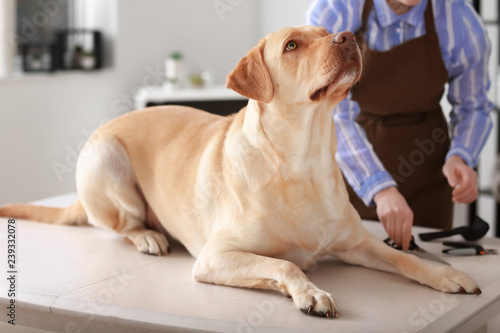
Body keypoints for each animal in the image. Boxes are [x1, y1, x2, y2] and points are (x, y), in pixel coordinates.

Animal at [0, 26, 480, 316]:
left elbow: (404, 256)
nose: (348, 36)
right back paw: (149, 235)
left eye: (326, 33)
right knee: (122, 224)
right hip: (107, 159)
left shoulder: (358, 243)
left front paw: (448, 275)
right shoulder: (216, 256)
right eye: (292, 45)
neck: (301, 162)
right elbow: (284, 265)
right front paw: (310, 291)